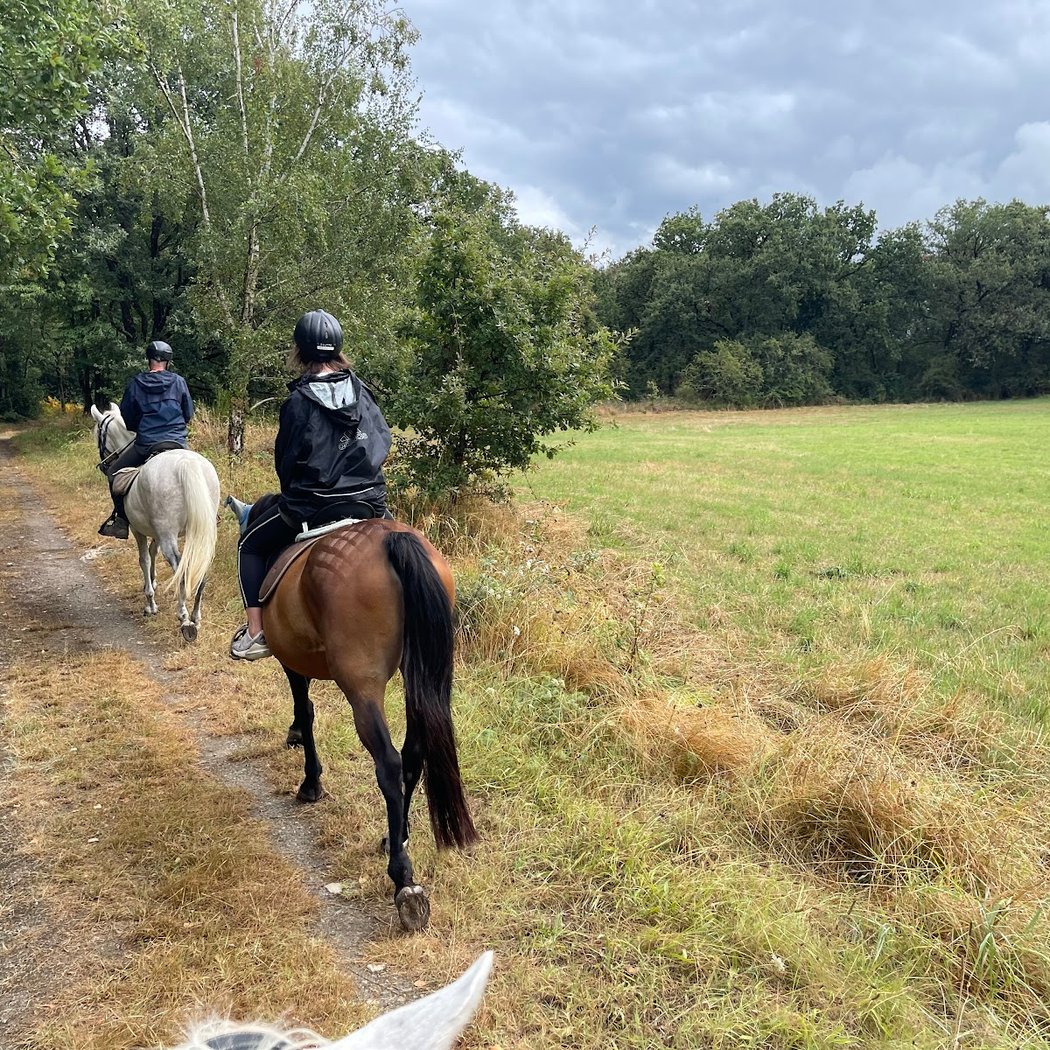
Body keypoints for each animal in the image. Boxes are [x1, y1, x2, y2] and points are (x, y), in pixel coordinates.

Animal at [91, 403, 220, 641]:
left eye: (99, 434)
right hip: (198, 532)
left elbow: (144, 559)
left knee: (180, 567)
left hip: (169, 533)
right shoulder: (157, 532)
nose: (105, 465)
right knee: (201, 568)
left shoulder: (138, 530)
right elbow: (153, 553)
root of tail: (186, 464)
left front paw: (150, 602)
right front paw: (152, 582)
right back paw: (196, 616)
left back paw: (184, 618)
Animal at [226, 495, 477, 932]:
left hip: (362, 684)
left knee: (389, 763)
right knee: (412, 755)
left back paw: (404, 881)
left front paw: (309, 780)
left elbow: (305, 709)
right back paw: (398, 837)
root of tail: (391, 540)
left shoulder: (293, 661)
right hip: (418, 674)